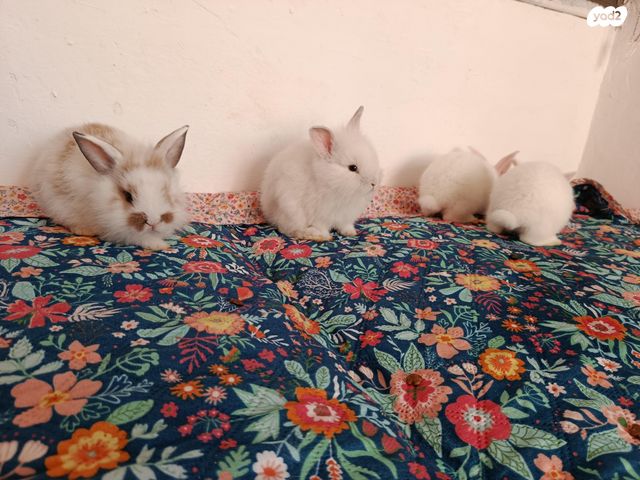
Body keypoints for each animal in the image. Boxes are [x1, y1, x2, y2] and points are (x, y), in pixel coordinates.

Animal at [260, 106, 381, 241]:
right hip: (288, 210)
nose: (374, 183)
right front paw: (326, 237)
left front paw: (350, 233)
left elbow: (345, 225)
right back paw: (309, 234)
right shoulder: (318, 216)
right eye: (353, 168)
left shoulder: (345, 217)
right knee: (285, 228)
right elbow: (321, 227)